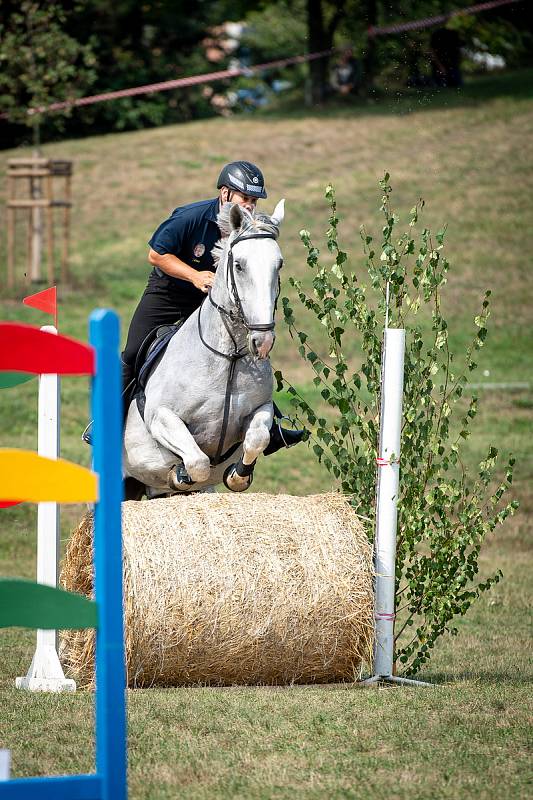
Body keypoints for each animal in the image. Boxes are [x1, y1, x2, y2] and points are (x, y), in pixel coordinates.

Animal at [123, 199, 284, 496]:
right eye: (239, 265)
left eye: (279, 264)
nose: (262, 341)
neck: (228, 358)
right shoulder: (161, 417)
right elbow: (197, 462)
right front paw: (180, 474)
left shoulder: (262, 408)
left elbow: (257, 438)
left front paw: (238, 475)